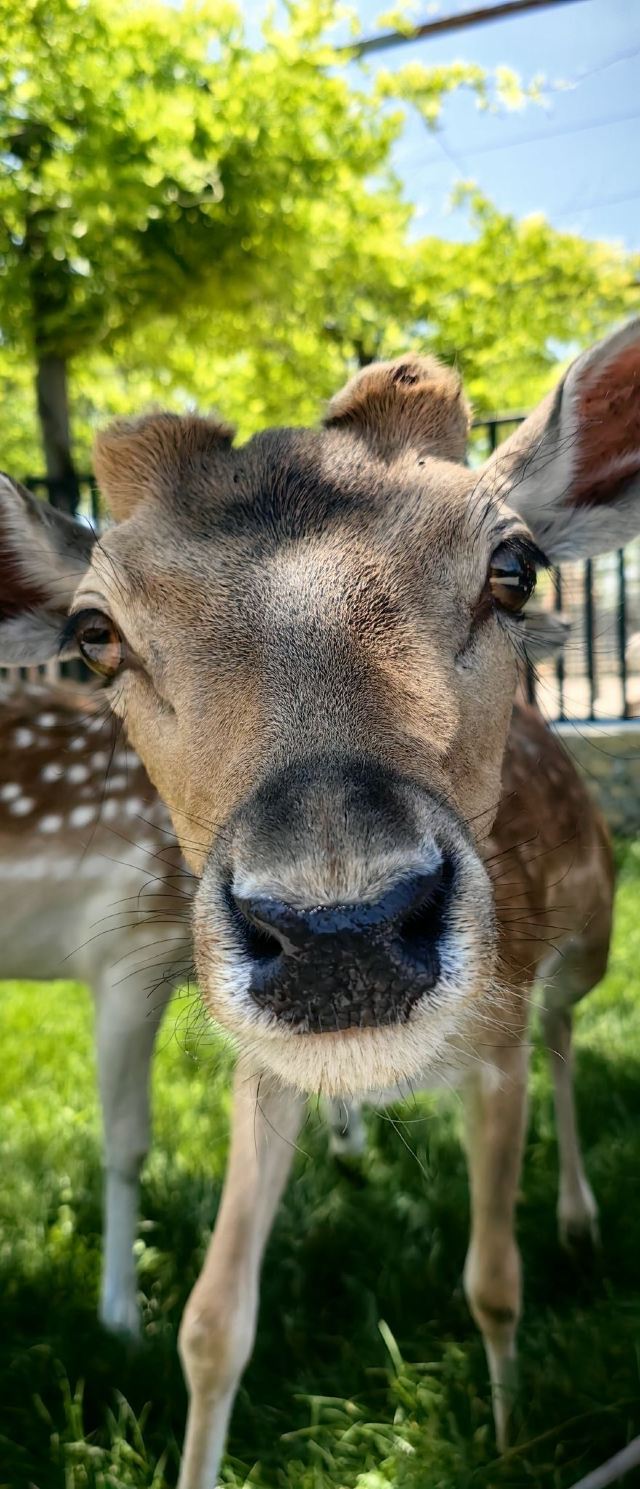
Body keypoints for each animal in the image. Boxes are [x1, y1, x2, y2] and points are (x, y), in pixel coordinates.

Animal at [1, 319, 637, 1489]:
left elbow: (494, 1279)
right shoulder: (262, 1068)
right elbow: (210, 1322)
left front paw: (511, 1434)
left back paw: (578, 1217)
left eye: (513, 567)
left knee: (569, 1035)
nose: (342, 934)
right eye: (95, 631)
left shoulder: (496, 1045)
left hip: (592, 942)